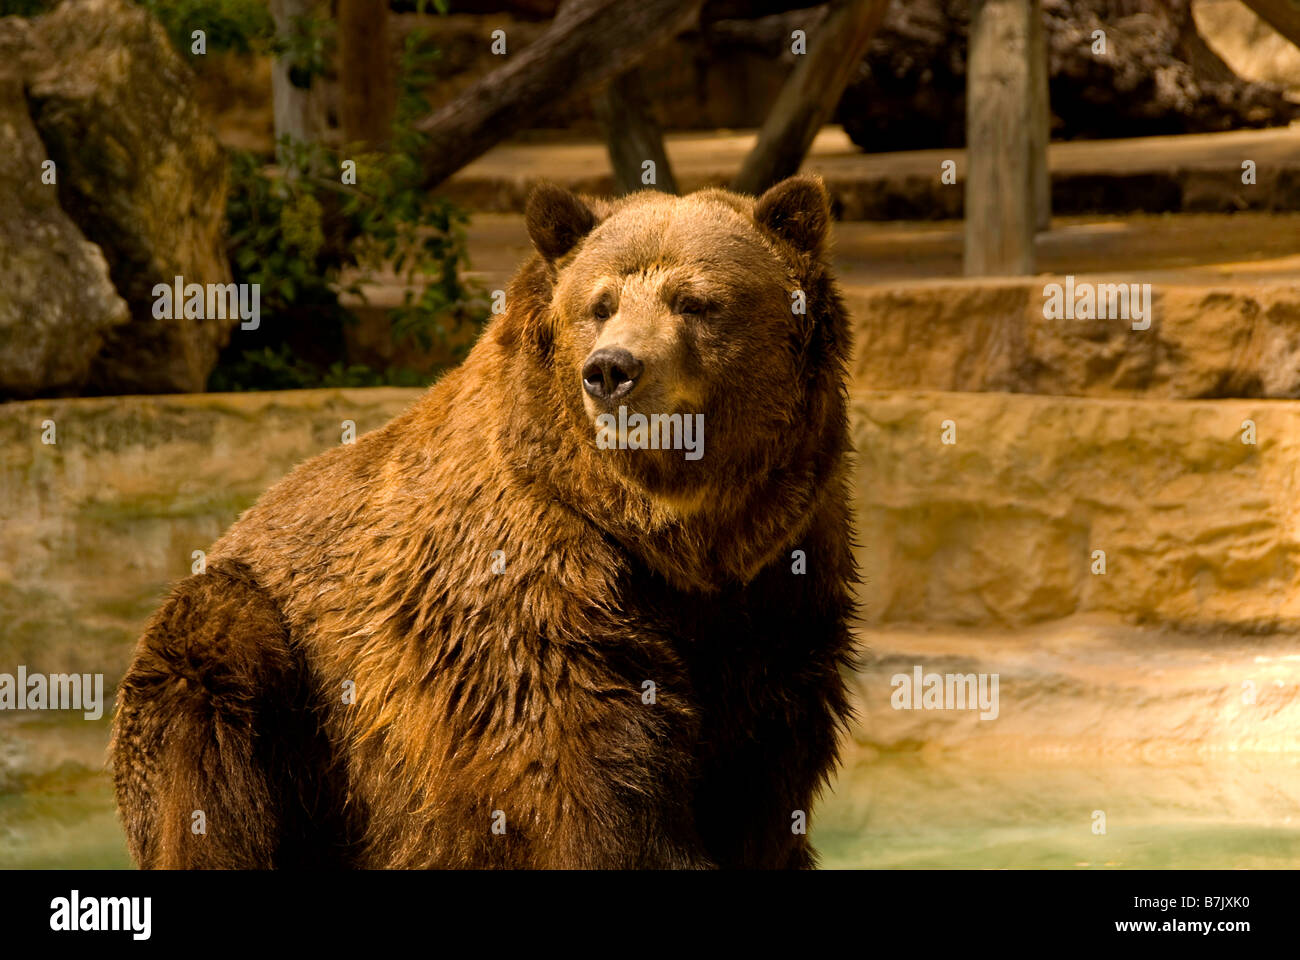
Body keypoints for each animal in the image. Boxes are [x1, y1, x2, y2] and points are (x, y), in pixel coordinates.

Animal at [111, 171, 857, 868]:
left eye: (694, 301)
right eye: (600, 304)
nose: (612, 371)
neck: (671, 532)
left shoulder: (777, 584)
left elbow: (762, 771)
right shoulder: (529, 579)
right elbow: (586, 764)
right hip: (271, 676)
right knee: (207, 710)